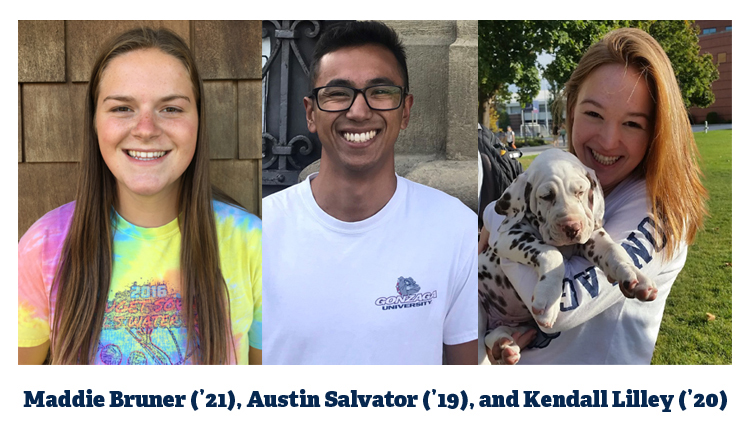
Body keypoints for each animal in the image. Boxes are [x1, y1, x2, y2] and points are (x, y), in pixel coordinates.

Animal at [482, 150, 656, 364]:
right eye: (546, 196)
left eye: (580, 192)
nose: (572, 227)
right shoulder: (507, 237)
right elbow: (551, 251)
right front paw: (548, 298)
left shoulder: (592, 235)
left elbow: (613, 250)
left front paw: (633, 274)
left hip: (523, 325)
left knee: (496, 333)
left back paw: (505, 344)